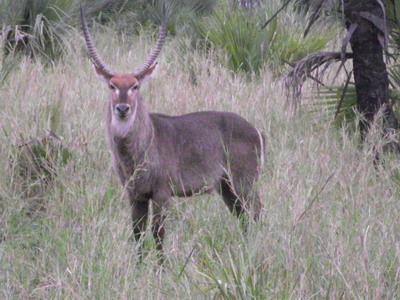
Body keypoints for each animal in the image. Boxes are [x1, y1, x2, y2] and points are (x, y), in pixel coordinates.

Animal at [79, 6, 264, 253]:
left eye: (135, 86)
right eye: (112, 85)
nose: (122, 108)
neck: (140, 147)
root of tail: (255, 130)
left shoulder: (162, 193)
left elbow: (158, 234)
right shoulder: (134, 194)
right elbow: (137, 234)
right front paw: (138, 262)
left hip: (245, 180)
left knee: (256, 212)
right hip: (226, 186)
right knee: (243, 216)